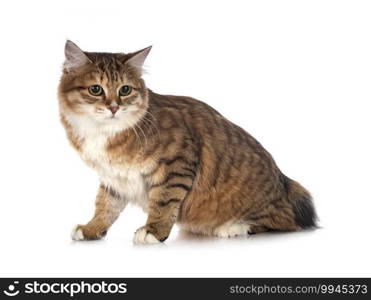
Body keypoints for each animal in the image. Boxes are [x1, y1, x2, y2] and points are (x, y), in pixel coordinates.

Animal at [57, 39, 316, 244]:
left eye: (125, 90)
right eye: (95, 89)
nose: (113, 108)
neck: (104, 132)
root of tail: (284, 182)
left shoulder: (176, 164)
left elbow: (163, 203)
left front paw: (153, 231)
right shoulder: (114, 177)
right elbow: (105, 206)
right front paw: (92, 229)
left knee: (283, 221)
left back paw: (235, 226)